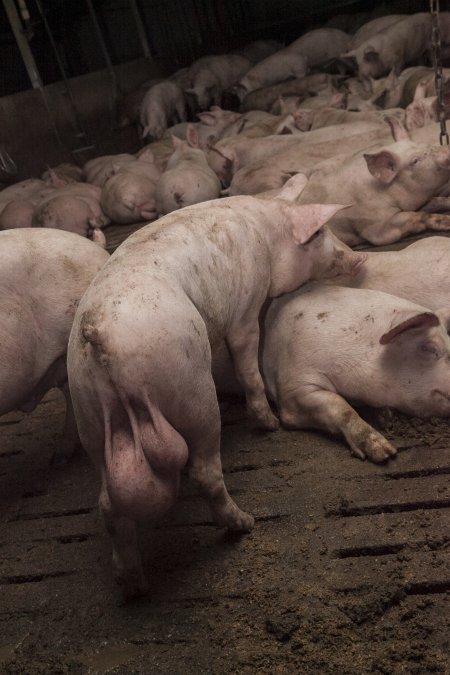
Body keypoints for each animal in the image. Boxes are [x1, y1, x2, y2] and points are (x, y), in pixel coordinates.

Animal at [67, 176, 366, 604]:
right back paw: (245, 523)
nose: (360, 259)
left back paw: (134, 586)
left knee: (109, 505)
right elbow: (247, 363)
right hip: (190, 387)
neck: (266, 232)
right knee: (204, 469)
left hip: (89, 412)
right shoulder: (244, 306)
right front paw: (269, 424)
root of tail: (100, 333)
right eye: (319, 234)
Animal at [214, 286, 450, 464]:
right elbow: (340, 407)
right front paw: (385, 453)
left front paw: (386, 417)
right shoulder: (292, 384)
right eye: (430, 348)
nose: (388, 453)